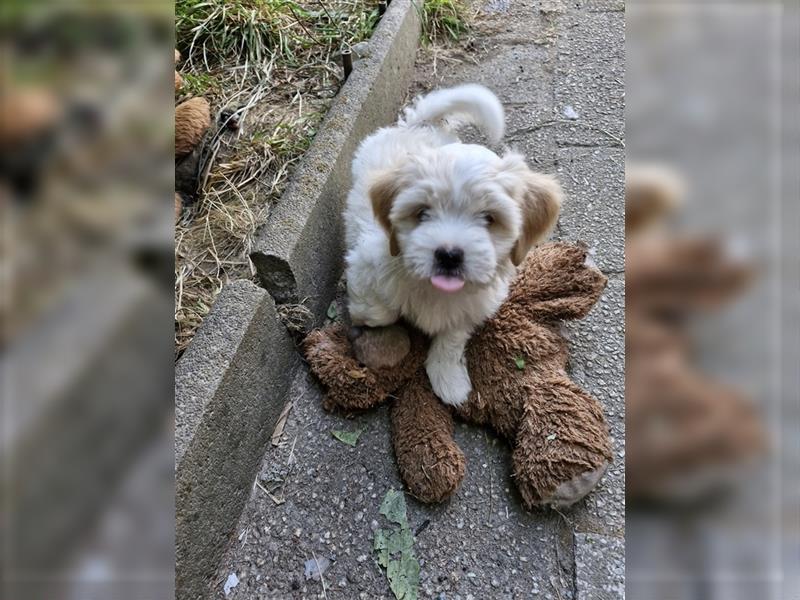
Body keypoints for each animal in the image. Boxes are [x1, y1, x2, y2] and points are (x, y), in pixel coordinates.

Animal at [344, 84, 564, 406]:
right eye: (422, 213)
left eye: (489, 218)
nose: (448, 255)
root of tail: (417, 125)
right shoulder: (365, 262)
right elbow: (378, 310)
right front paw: (363, 318)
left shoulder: (473, 306)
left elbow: (451, 337)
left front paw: (448, 378)